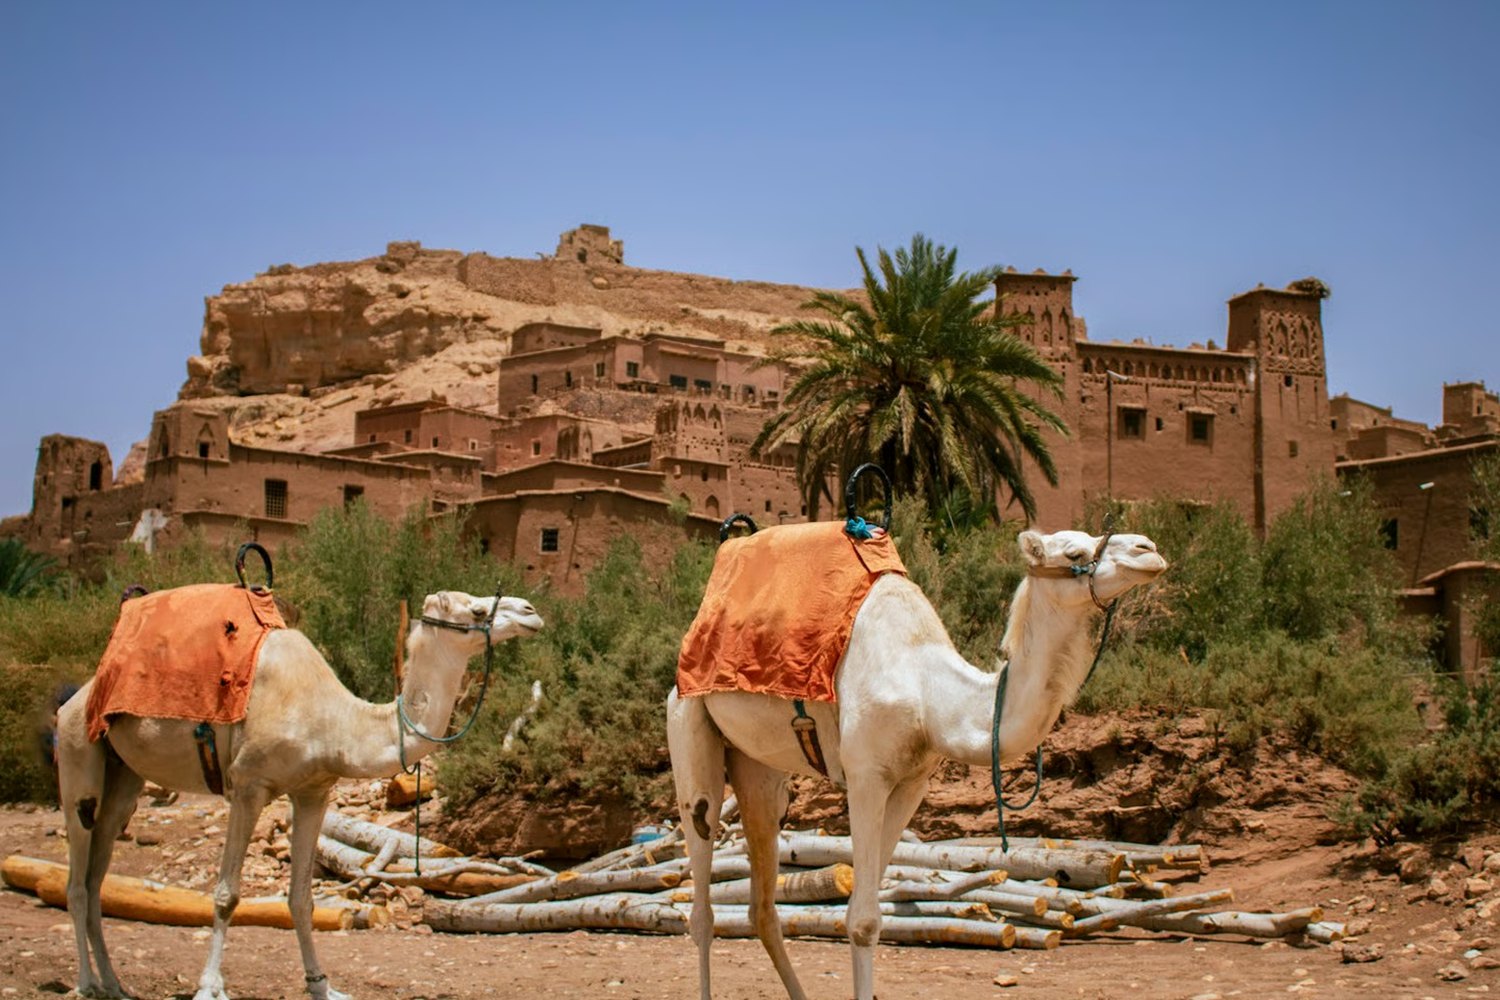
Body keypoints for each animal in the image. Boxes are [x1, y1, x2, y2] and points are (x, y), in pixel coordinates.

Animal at [55, 589, 544, 1000]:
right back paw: (86, 983)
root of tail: (75, 698)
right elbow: (227, 894)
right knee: (77, 875)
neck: (334, 721)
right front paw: (210, 988)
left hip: (124, 776)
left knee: (98, 870)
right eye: (476, 610)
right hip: (78, 753)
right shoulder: (248, 786)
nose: (531, 612)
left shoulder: (314, 792)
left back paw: (114, 985)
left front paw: (322, 985)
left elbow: (302, 899)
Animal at [667, 527, 1167, 1000]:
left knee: (762, 902)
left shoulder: (912, 784)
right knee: (702, 897)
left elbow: (870, 909)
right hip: (689, 727)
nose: (1149, 550)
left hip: (759, 766)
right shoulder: (865, 776)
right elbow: (861, 921)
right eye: (1075, 553)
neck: (929, 693)